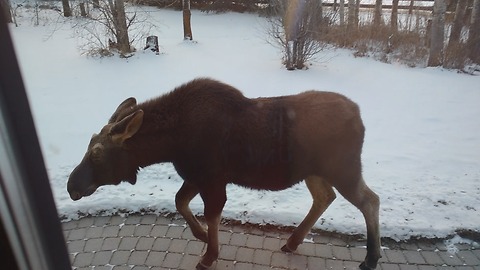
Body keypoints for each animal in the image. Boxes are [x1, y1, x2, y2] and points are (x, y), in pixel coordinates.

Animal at [68, 78, 382, 270]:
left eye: (97, 153)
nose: (71, 186)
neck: (170, 145)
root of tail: (361, 117)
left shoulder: (211, 178)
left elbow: (210, 213)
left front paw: (209, 254)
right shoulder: (196, 175)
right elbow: (180, 201)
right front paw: (202, 236)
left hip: (343, 168)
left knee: (370, 200)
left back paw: (371, 258)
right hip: (315, 172)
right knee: (325, 197)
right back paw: (292, 242)